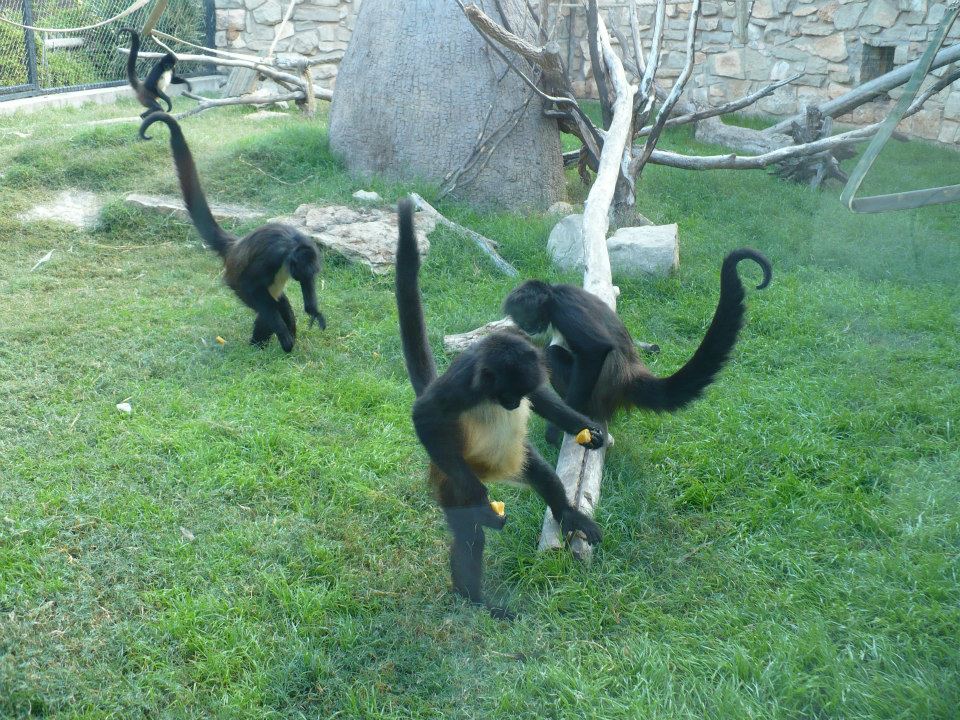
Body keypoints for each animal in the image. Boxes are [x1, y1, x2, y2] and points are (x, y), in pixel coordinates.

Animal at [141, 113, 325, 352]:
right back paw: (260, 345)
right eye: (301, 270)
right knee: (266, 302)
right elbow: (250, 284)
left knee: (280, 303)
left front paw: (313, 311)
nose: (303, 275)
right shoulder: (274, 256)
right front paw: (284, 336)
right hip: (236, 280)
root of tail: (235, 246)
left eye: (309, 273)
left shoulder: (309, 249)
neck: (293, 246)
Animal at [395, 197, 607, 619]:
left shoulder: (529, 368)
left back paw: (567, 514)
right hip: (449, 476)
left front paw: (586, 427)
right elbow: (424, 414)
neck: (486, 381)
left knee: (542, 473)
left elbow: (544, 400)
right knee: (470, 533)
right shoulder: (463, 382)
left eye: (516, 395)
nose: (511, 403)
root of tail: (489, 470)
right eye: (505, 393)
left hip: (514, 457)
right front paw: (481, 500)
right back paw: (475, 599)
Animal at [503, 249, 772, 445]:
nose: (529, 327)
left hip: (599, 391)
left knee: (553, 354)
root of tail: (628, 377)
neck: (553, 294)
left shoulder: (564, 308)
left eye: (529, 316)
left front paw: (555, 430)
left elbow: (595, 350)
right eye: (523, 320)